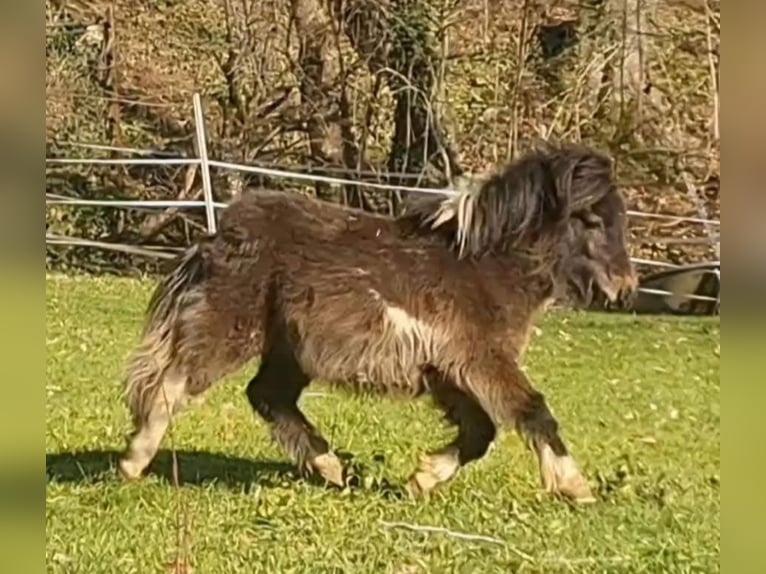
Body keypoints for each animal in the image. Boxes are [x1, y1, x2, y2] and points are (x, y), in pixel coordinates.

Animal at [117, 143, 640, 504]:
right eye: (592, 220)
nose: (625, 287)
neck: (487, 267)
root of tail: (219, 233)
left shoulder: (447, 372)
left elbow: (480, 433)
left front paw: (421, 480)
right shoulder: (483, 360)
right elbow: (533, 411)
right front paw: (575, 486)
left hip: (288, 349)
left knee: (266, 396)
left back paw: (331, 468)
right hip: (234, 327)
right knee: (175, 384)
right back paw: (133, 461)